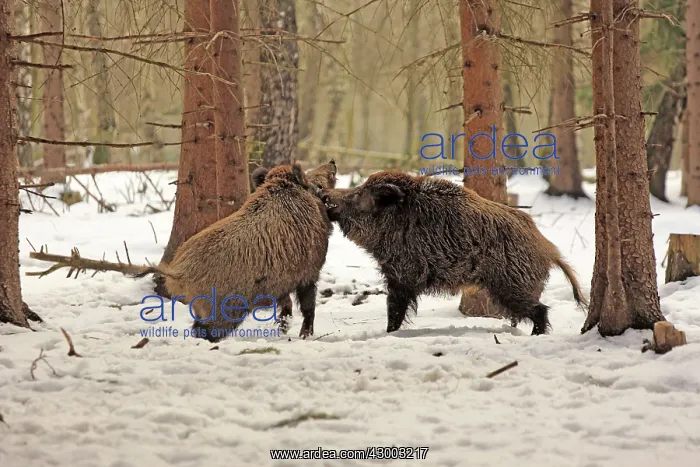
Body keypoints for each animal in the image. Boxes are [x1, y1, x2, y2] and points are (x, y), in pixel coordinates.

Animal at [320, 170, 587, 335]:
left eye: (358, 194)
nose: (324, 194)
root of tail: (550, 251)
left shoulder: (401, 274)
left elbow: (395, 308)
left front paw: (388, 333)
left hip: (512, 286)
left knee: (540, 310)